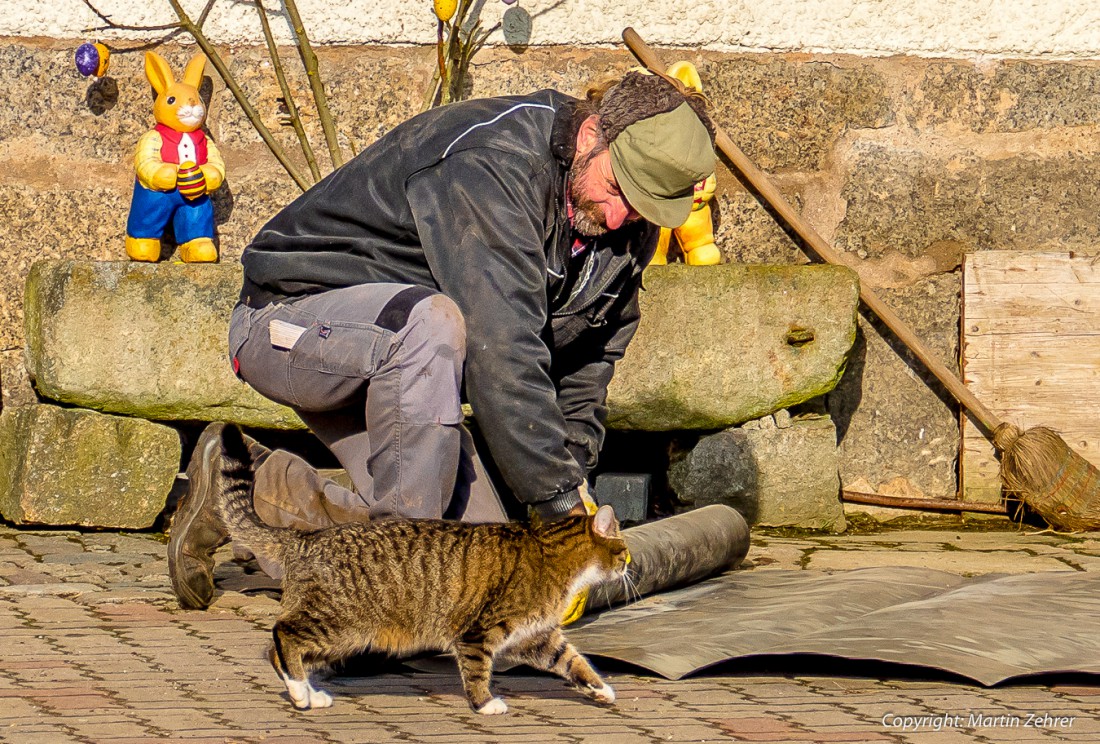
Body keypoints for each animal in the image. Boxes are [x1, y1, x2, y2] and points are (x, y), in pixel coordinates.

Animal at [212, 420, 629, 713]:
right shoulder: (478, 631)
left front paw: (600, 687)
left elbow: (573, 661)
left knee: (275, 651)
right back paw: (301, 691)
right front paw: (484, 704)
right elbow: (477, 670)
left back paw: (307, 693)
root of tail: (305, 538)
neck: (549, 550)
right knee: (283, 635)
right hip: (340, 623)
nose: (628, 565)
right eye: (623, 550)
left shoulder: (538, 636)